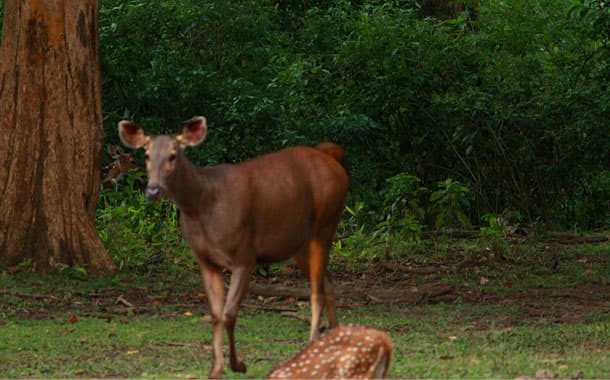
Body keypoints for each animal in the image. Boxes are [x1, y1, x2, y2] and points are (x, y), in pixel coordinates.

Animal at [119, 117, 346, 378]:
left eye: (173, 155)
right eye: (146, 154)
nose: (153, 190)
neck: (202, 206)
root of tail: (332, 158)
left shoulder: (244, 256)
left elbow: (229, 314)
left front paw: (238, 364)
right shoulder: (205, 260)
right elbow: (216, 314)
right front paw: (216, 369)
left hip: (326, 223)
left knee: (316, 291)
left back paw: (313, 346)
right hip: (299, 242)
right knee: (328, 283)